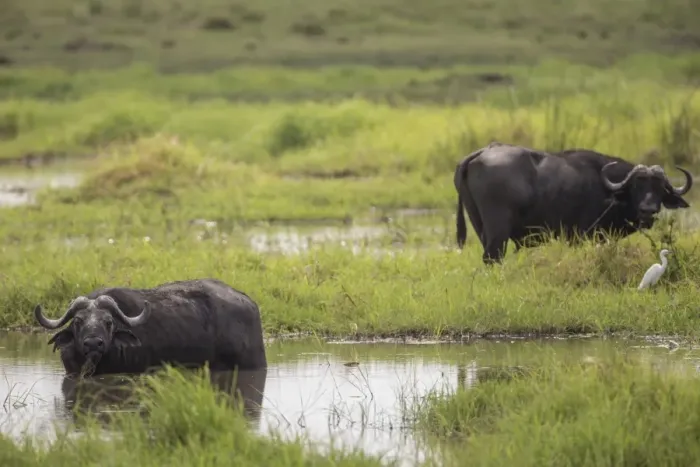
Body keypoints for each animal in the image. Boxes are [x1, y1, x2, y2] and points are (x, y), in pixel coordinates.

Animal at [454, 142, 693, 264]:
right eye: (637, 186)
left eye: (660, 189)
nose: (648, 210)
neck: (607, 188)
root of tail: (483, 151)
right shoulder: (581, 236)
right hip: (498, 231)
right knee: (493, 257)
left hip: (480, 226)